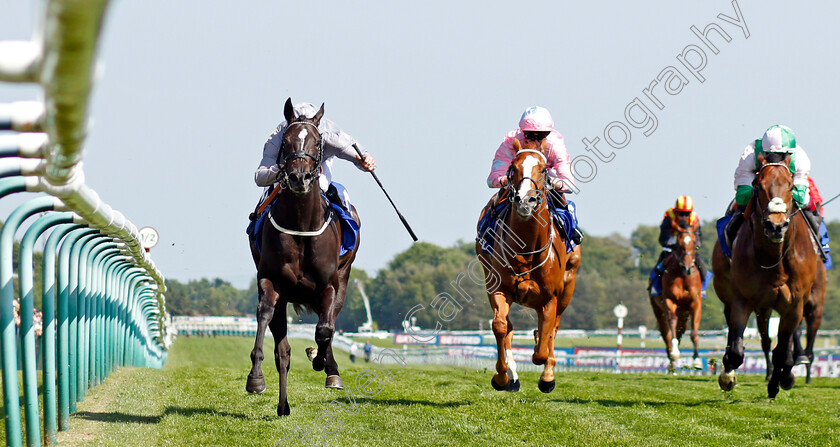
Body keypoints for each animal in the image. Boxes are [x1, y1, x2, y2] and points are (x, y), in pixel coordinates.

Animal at [244, 98, 360, 416]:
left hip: (344, 277)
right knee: (282, 350)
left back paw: (329, 369)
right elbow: (266, 318)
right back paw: (283, 405)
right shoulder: (271, 281)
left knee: (330, 322)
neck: (301, 225)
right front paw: (255, 378)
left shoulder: (327, 285)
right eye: (285, 142)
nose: (298, 177)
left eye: (318, 141)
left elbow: (324, 330)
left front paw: (321, 361)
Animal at [476, 138, 580, 394]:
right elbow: (500, 326)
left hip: (568, 288)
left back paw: (547, 373)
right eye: (513, 168)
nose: (525, 200)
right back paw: (513, 376)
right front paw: (502, 377)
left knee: (553, 329)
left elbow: (542, 348)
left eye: (543, 170)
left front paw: (546, 376)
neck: (525, 252)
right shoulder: (499, 289)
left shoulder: (550, 298)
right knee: (509, 327)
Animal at [648, 222, 704, 372]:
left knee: (680, 330)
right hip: (658, 311)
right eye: (679, 244)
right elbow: (672, 323)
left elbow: (694, 333)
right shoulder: (669, 300)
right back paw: (671, 363)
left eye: (694, 242)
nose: (687, 268)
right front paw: (674, 353)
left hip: (684, 314)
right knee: (666, 334)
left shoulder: (695, 302)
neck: (683, 276)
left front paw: (697, 360)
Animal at [712, 152, 816, 398]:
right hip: (733, 294)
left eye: (790, 186)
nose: (775, 226)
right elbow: (736, 349)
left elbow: (782, 349)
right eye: (758, 185)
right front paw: (727, 376)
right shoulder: (743, 298)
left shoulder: (794, 305)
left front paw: (779, 382)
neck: (773, 261)